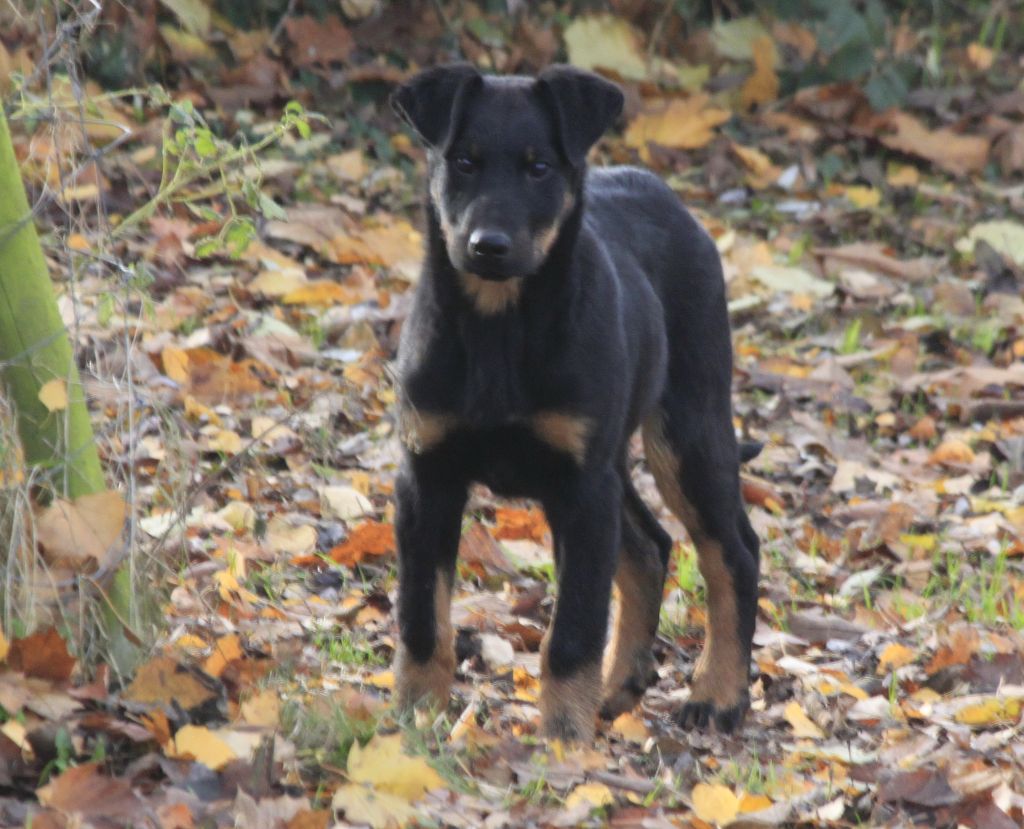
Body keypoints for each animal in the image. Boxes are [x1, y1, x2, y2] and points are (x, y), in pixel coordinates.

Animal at [391, 64, 761, 736]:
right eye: (463, 161)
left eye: (539, 168)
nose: (488, 245)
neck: (498, 328)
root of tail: (657, 188)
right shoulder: (426, 475)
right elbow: (421, 617)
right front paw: (412, 722)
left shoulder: (581, 488)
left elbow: (572, 631)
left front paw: (563, 741)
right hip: (614, 459)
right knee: (649, 547)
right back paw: (618, 686)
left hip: (688, 429)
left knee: (734, 553)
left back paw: (718, 693)